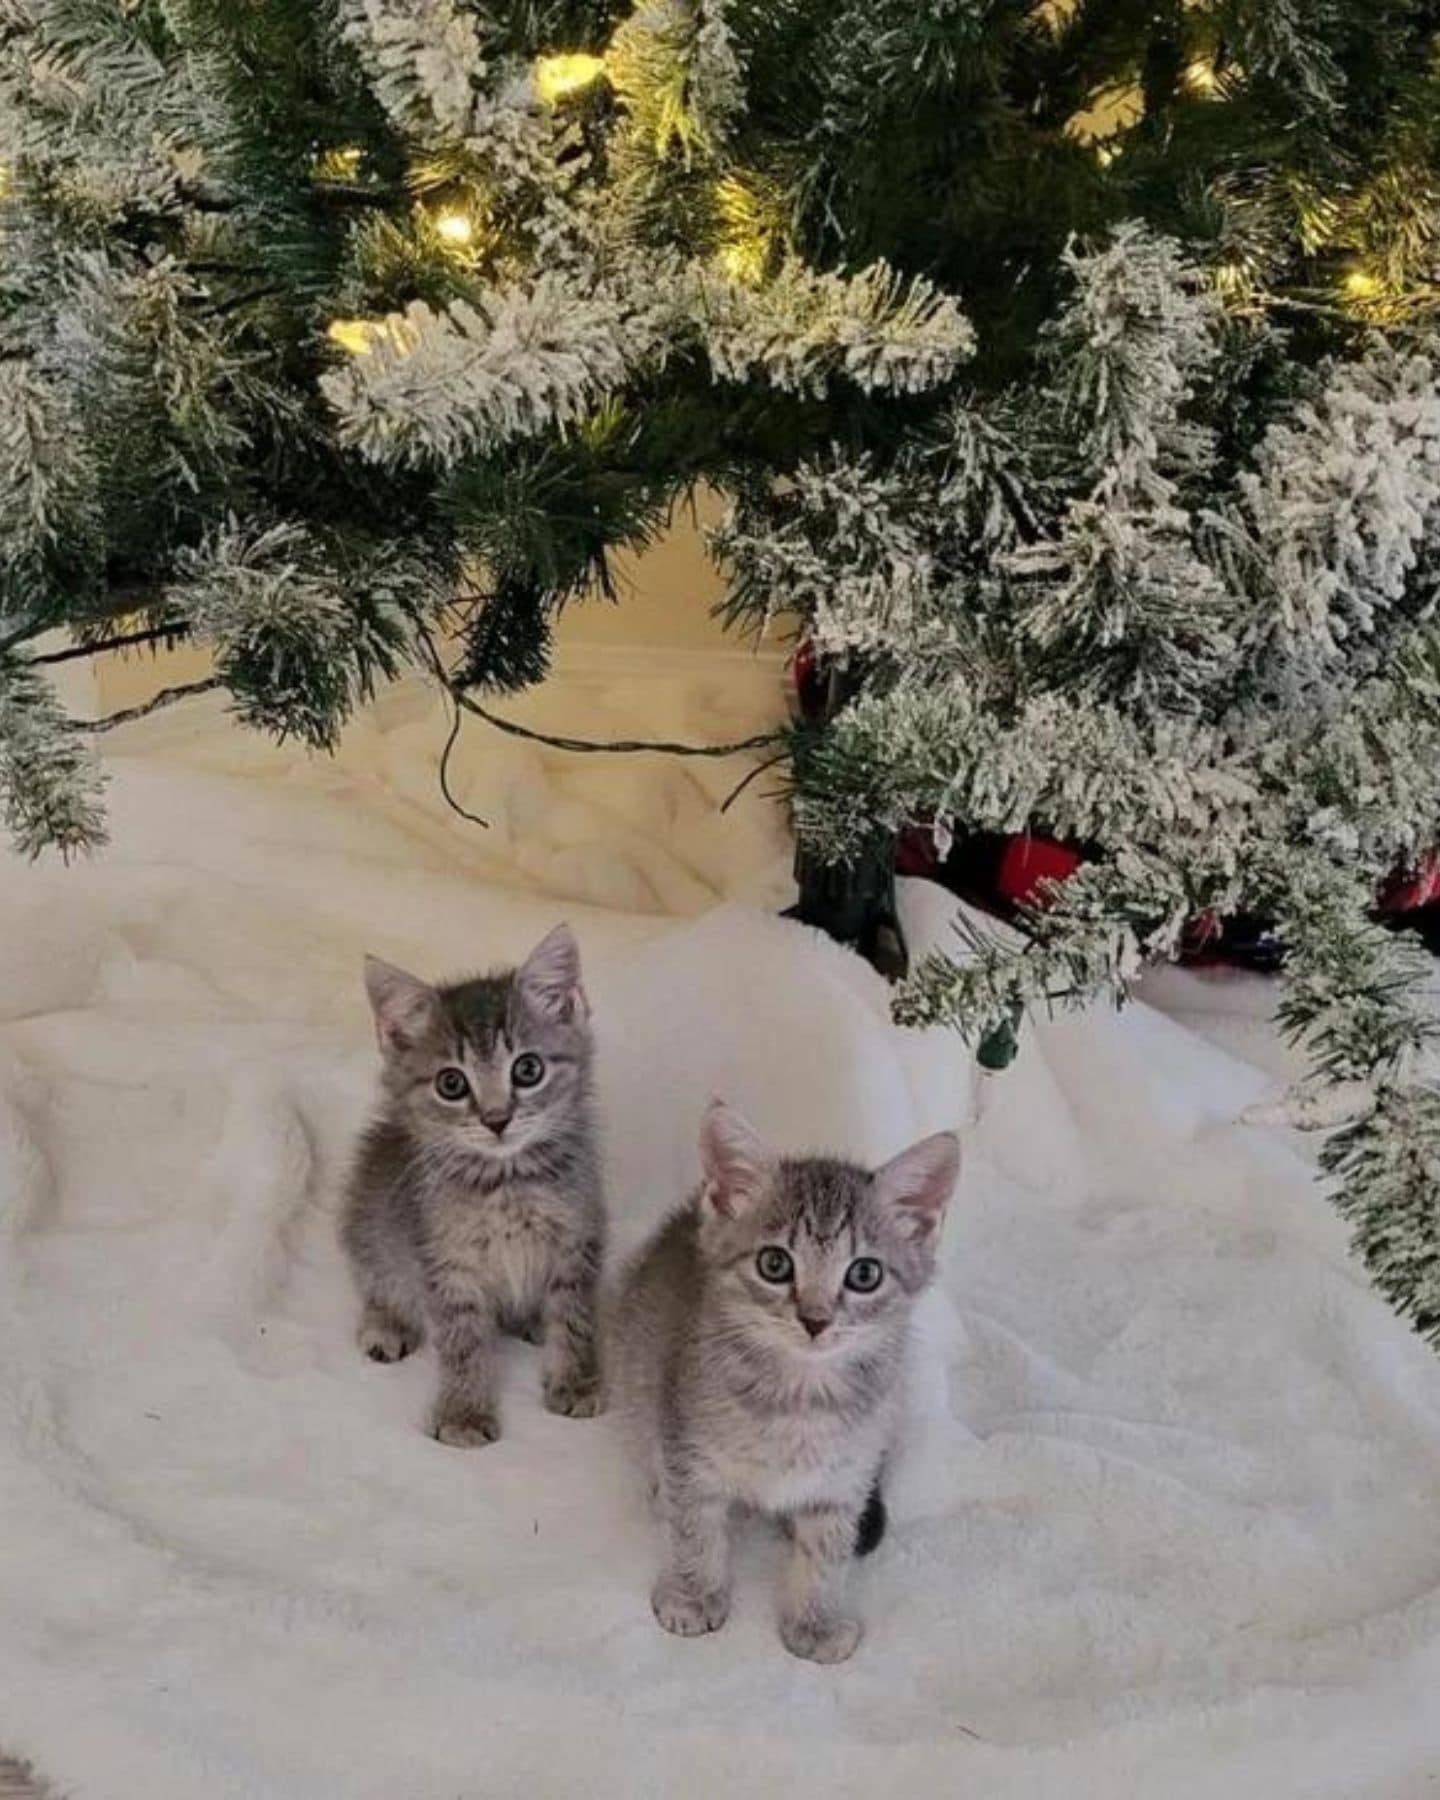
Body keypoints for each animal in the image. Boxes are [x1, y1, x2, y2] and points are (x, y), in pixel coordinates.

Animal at [340, 928, 604, 1447]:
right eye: (451, 1083)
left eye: (527, 1069)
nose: (497, 1119)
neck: (506, 1184)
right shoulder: (447, 1263)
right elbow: (462, 1342)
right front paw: (464, 1410)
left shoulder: (577, 1238)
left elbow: (574, 1317)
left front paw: (574, 1382)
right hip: (371, 1225)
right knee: (377, 1274)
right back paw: (387, 1322)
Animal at [608, 1101, 957, 1663]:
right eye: (775, 1264)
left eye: (864, 1275)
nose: (815, 1320)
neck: (799, 1397)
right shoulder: (687, 1446)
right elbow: (695, 1526)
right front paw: (694, 1593)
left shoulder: (845, 1474)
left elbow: (827, 1549)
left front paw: (814, 1620)